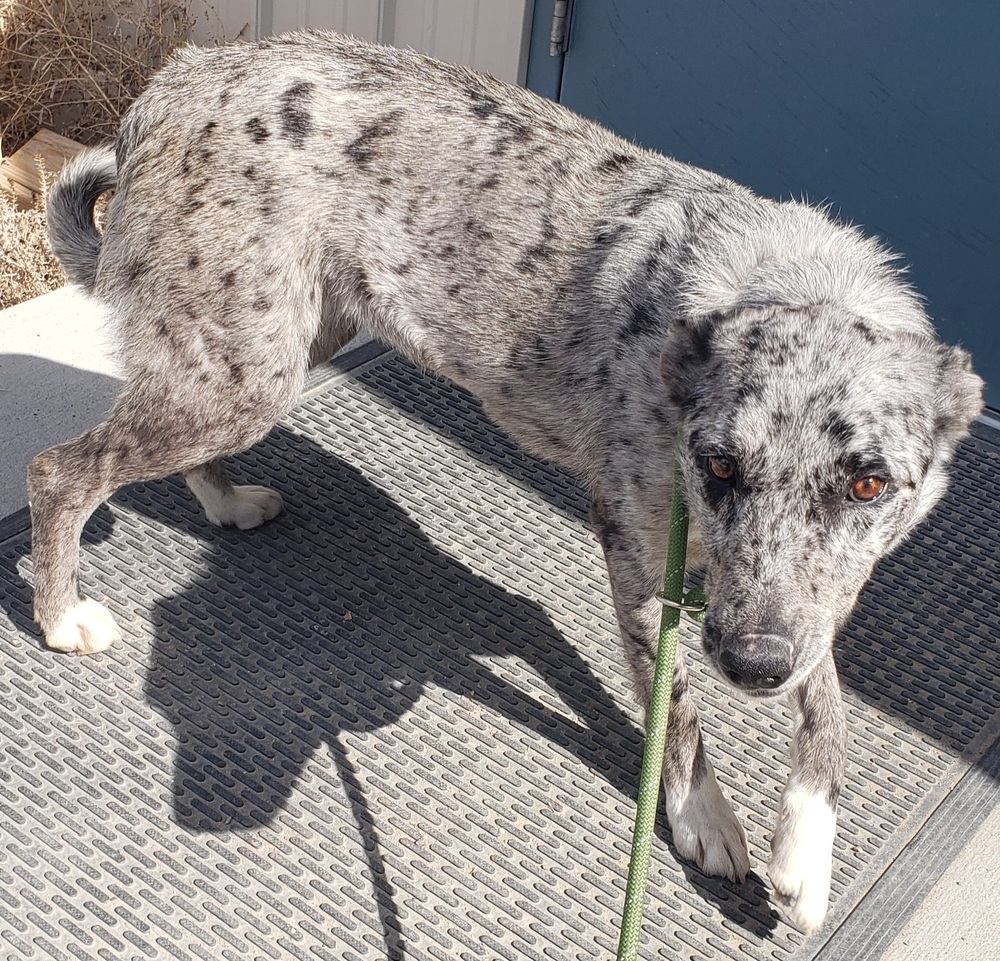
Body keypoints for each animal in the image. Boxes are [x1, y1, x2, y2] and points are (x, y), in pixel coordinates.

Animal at [35, 33, 980, 932]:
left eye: (868, 487)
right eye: (718, 464)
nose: (752, 667)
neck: (784, 279)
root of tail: (174, 80)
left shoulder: (805, 598)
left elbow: (829, 700)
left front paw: (809, 841)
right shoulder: (640, 561)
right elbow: (676, 707)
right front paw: (703, 814)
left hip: (271, 350)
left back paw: (225, 502)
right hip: (243, 373)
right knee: (59, 471)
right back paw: (61, 613)